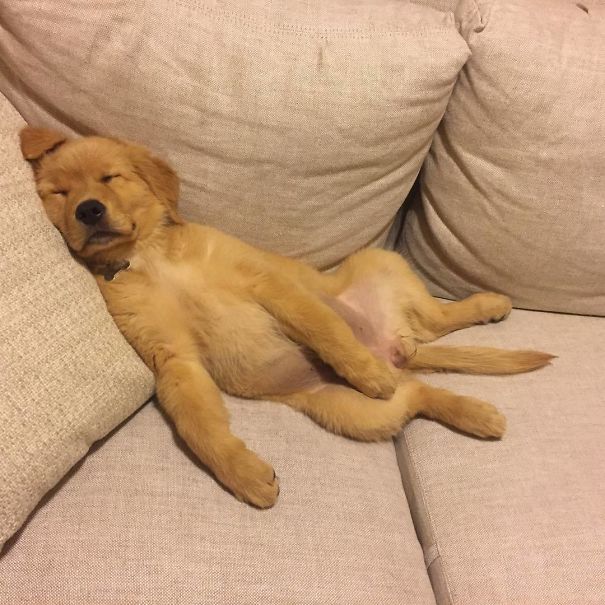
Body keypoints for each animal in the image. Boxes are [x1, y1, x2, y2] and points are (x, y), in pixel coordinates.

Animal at [21, 130, 552, 508]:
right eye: (59, 192)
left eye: (110, 178)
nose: (89, 210)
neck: (149, 258)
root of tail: (394, 346)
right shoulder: (172, 358)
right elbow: (199, 426)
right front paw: (244, 475)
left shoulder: (267, 285)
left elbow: (325, 329)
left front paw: (365, 370)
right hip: (349, 410)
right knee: (420, 393)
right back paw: (476, 413)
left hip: (380, 263)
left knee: (437, 320)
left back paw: (482, 310)